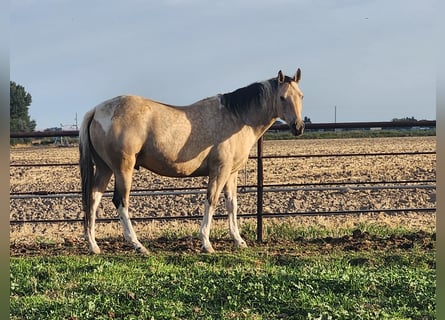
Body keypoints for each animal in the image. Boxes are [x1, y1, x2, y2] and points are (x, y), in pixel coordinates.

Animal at [78, 69, 304, 254]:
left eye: (301, 96)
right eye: (282, 97)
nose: (299, 127)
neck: (237, 117)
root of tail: (96, 110)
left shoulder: (231, 173)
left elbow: (232, 204)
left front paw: (238, 241)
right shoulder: (219, 171)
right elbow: (211, 201)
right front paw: (206, 243)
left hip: (105, 169)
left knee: (93, 199)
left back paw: (93, 245)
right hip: (123, 169)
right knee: (121, 202)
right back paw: (138, 245)